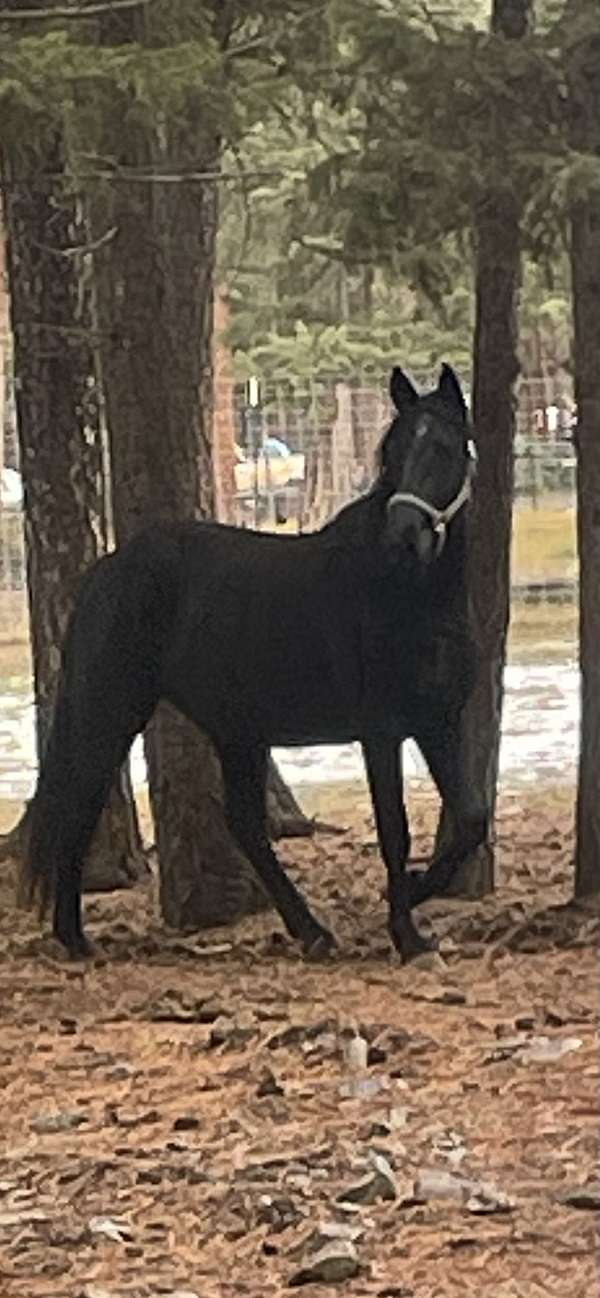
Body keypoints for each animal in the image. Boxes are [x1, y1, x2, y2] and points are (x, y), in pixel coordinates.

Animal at [22, 360, 488, 960]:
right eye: (394, 450)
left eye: (446, 448)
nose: (404, 535)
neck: (408, 596)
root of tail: (108, 568)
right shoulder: (381, 732)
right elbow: (395, 830)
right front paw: (407, 934)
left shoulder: (438, 724)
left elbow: (470, 819)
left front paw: (413, 894)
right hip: (112, 712)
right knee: (81, 802)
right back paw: (75, 938)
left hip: (237, 731)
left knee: (244, 825)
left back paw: (311, 931)